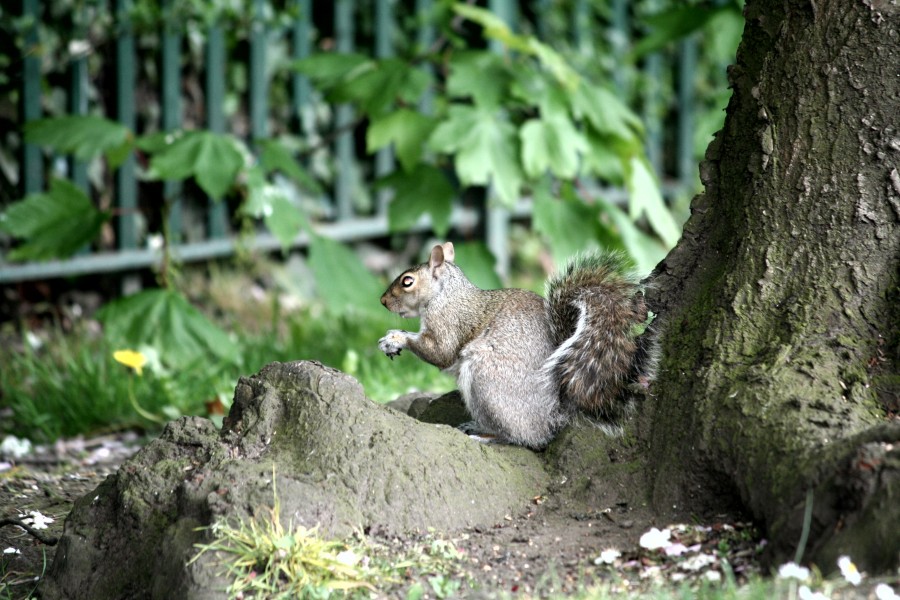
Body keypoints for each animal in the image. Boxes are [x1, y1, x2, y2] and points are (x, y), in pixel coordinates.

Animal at [376, 241, 656, 448]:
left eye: (407, 281)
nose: (382, 301)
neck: (446, 294)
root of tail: (552, 418)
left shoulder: (448, 323)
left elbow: (440, 353)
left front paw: (396, 338)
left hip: (485, 380)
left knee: (521, 438)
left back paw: (485, 435)